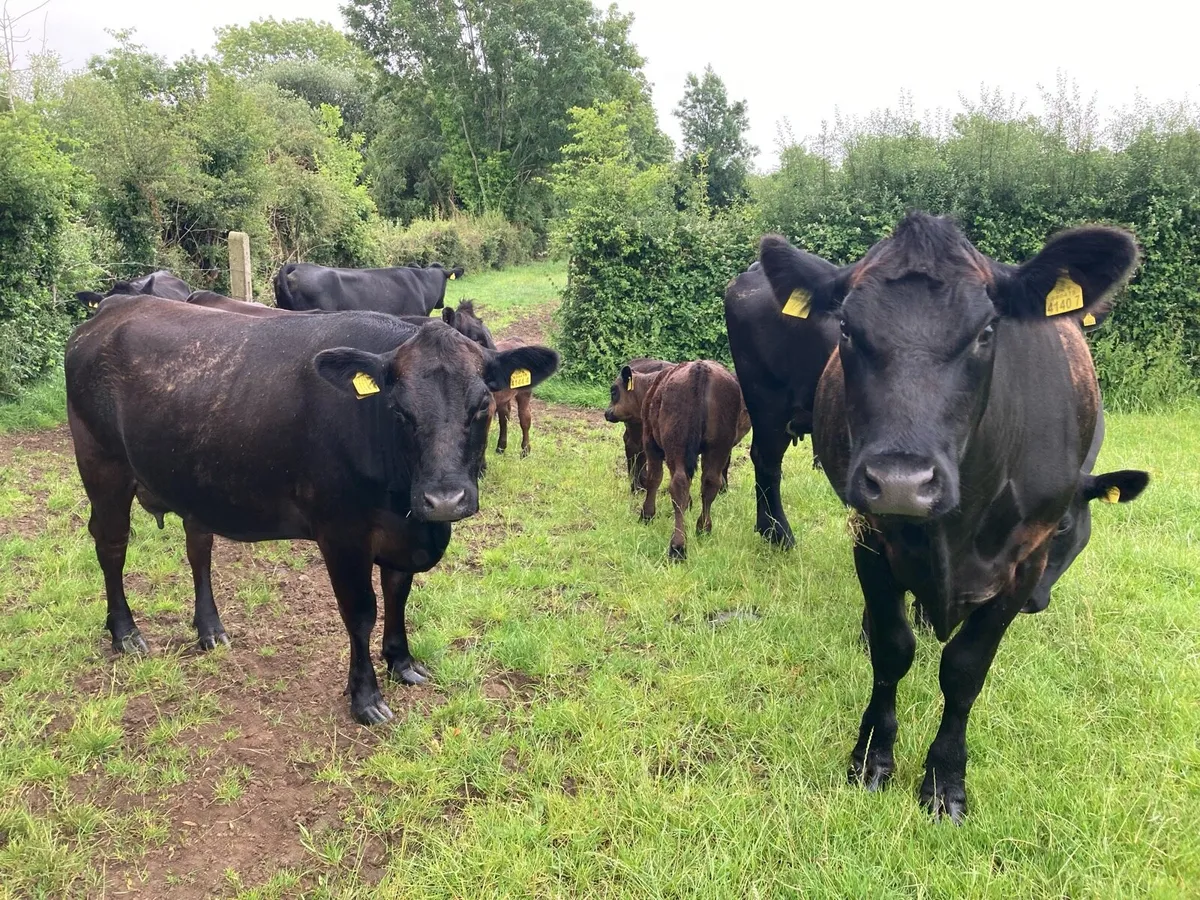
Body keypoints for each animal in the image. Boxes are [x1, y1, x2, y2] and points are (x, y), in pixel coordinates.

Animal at [65, 297, 558, 724]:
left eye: (482, 405)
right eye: (399, 410)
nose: (443, 500)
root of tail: (114, 307)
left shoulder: (402, 534)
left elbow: (398, 593)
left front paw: (403, 662)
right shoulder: (342, 534)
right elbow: (360, 612)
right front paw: (366, 698)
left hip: (191, 481)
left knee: (198, 548)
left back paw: (209, 630)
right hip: (102, 466)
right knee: (111, 546)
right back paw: (126, 634)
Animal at [605, 360, 750, 560]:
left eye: (614, 390)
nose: (607, 412)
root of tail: (700, 368)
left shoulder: (650, 442)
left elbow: (654, 478)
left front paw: (647, 515)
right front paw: (689, 504)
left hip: (676, 444)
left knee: (678, 483)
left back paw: (678, 546)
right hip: (718, 447)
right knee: (710, 483)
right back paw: (703, 529)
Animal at [758, 211, 1141, 822]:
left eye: (987, 332)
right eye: (845, 328)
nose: (901, 481)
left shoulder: (1025, 561)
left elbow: (964, 670)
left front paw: (944, 780)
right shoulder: (869, 535)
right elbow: (892, 650)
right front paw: (872, 757)